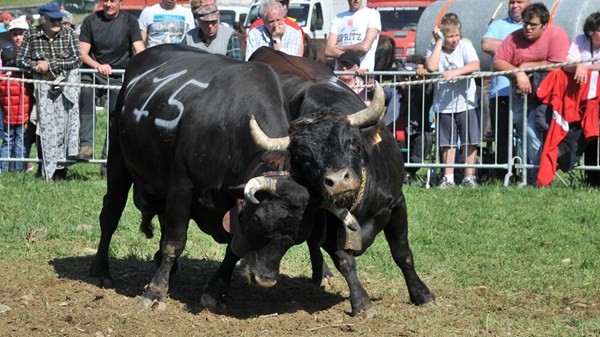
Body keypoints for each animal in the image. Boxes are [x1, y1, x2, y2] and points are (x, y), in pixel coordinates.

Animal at [250, 46, 436, 316]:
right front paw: (361, 302)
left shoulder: (396, 203)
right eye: (304, 157)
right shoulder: (325, 223)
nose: (338, 181)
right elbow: (344, 260)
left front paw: (421, 294)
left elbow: (402, 253)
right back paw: (322, 273)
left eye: (351, 142)